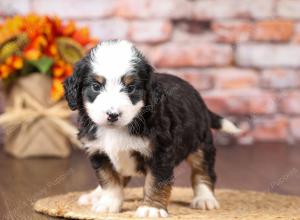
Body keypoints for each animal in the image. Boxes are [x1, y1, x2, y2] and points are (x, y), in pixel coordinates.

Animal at [63, 40, 241, 218]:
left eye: (130, 88)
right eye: (96, 86)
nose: (113, 115)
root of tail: (200, 100)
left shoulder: (160, 152)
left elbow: (156, 182)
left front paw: (151, 208)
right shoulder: (98, 152)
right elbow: (109, 180)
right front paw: (108, 203)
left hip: (201, 144)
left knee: (202, 171)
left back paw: (205, 198)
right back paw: (94, 195)